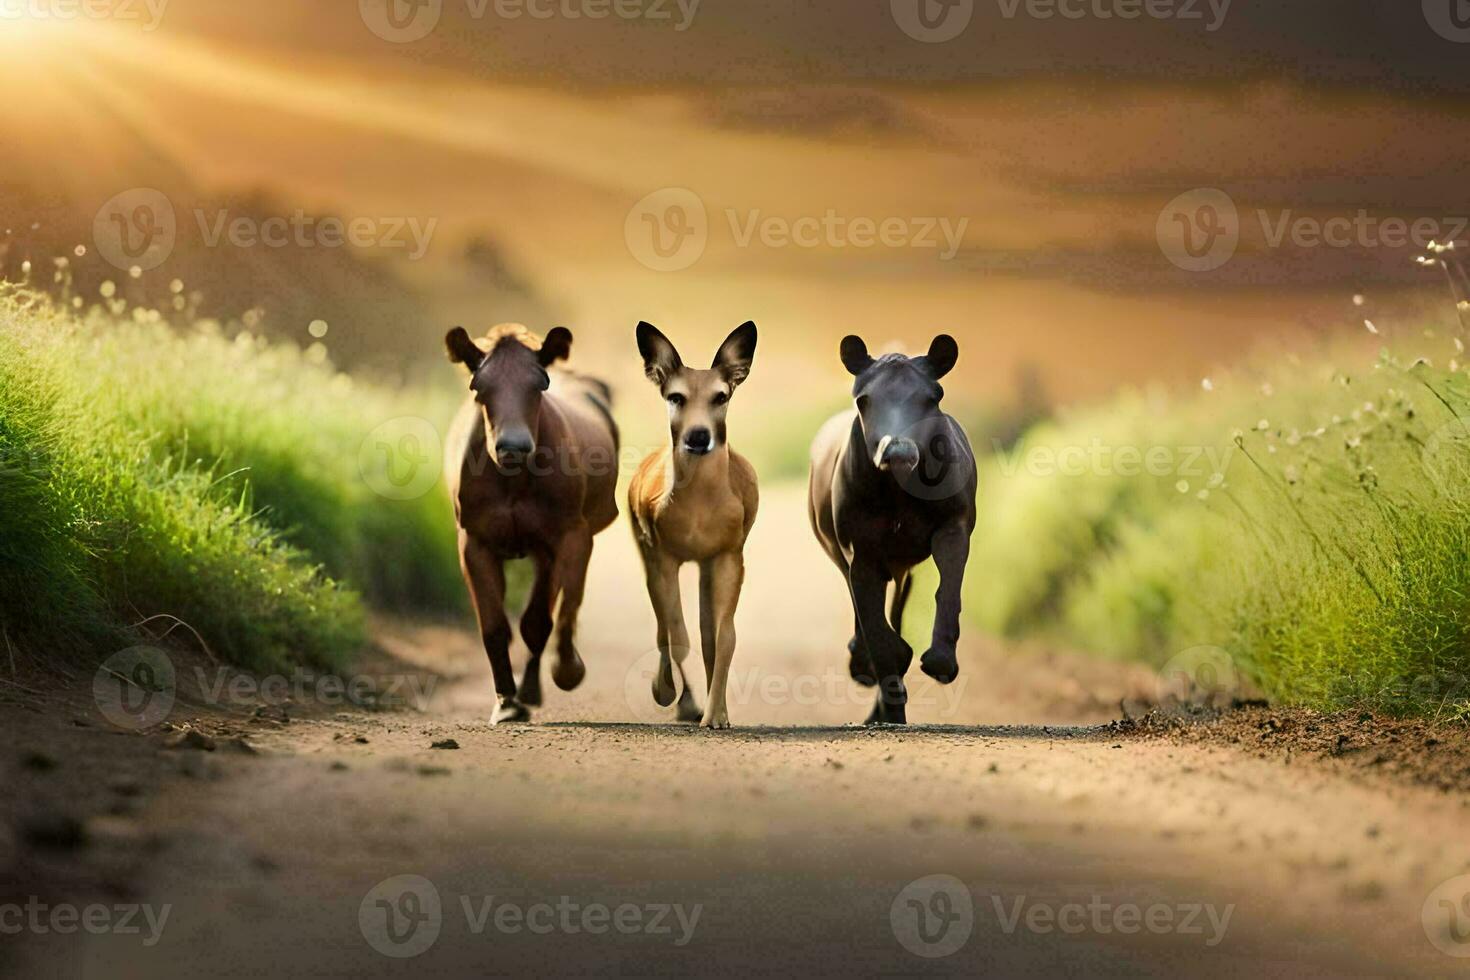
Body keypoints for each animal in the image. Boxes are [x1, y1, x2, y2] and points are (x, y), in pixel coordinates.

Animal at [438, 326, 617, 725]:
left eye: (539, 384)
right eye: (479, 386)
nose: (513, 446)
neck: (514, 480)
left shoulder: (568, 537)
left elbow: (544, 620)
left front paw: (566, 670)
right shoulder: (474, 542)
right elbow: (494, 626)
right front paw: (506, 701)